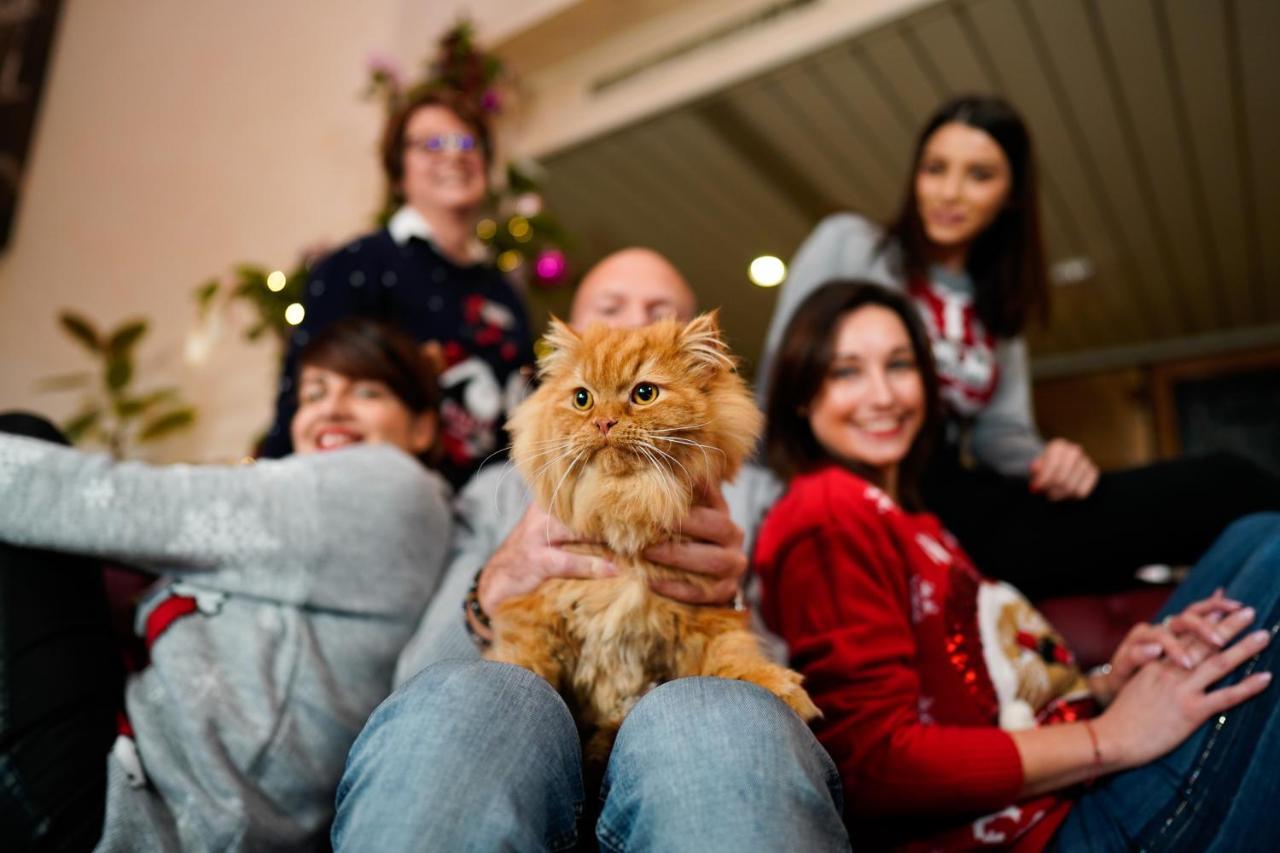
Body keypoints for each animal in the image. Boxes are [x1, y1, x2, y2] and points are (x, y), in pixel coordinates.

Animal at [483, 311, 814, 758]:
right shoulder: (536, 612)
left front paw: (780, 687)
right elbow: (522, 660)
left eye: (644, 393)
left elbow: (736, 656)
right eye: (582, 398)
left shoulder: (704, 618)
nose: (603, 421)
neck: (625, 508)